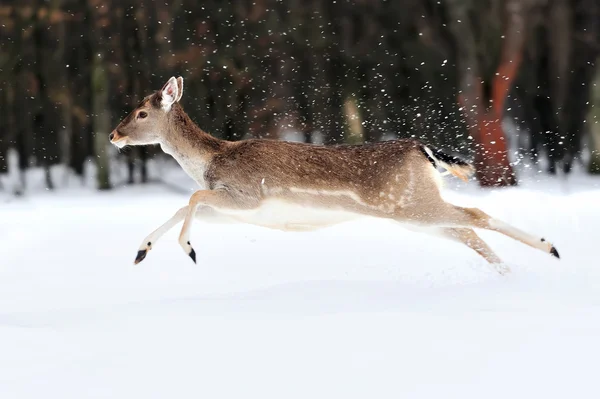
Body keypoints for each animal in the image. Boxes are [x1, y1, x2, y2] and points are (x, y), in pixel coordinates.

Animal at [110, 77, 560, 276]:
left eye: (142, 113)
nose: (114, 134)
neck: (212, 161)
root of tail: (424, 150)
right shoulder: (239, 211)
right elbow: (185, 205)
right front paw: (141, 251)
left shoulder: (247, 195)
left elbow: (191, 198)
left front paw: (189, 249)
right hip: (414, 211)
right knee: (467, 229)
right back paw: (511, 272)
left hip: (410, 205)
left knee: (475, 216)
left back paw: (550, 247)